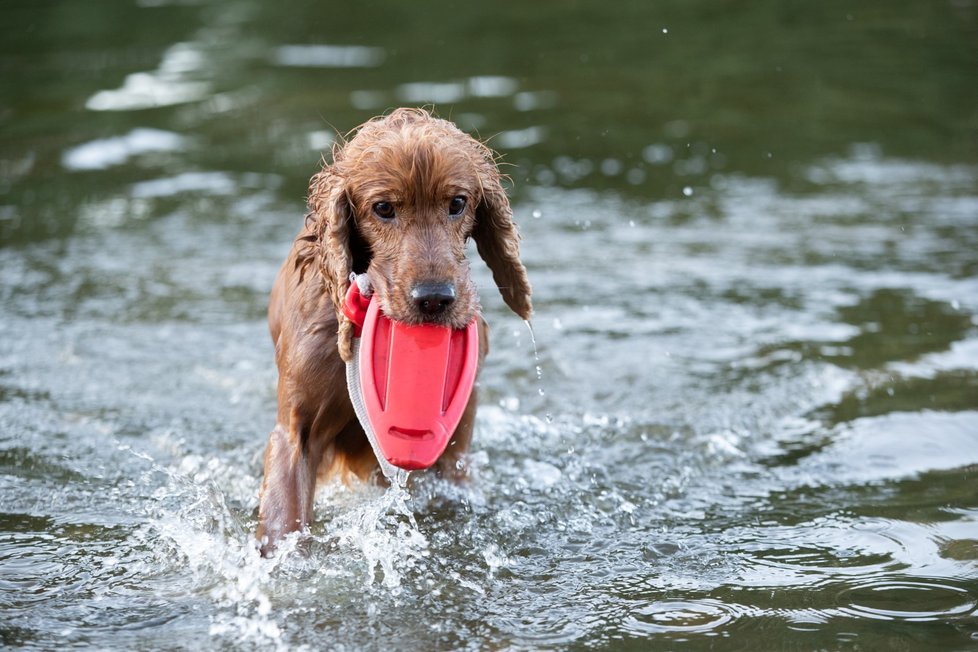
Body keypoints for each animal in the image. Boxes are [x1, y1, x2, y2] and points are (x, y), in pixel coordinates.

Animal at [258, 108, 532, 556]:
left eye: (457, 203)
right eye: (383, 208)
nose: (435, 299)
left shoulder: (453, 448)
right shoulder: (296, 429)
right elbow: (285, 517)